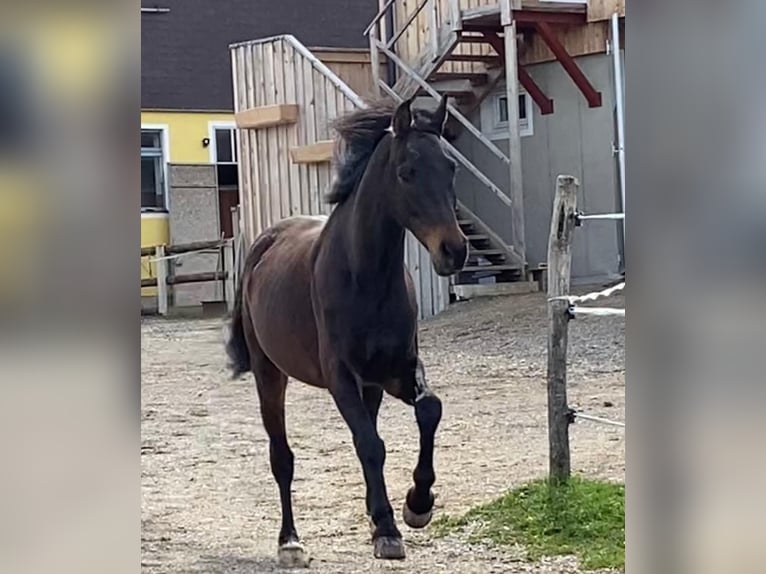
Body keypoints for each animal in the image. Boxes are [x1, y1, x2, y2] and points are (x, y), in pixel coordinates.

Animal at [228, 97, 468, 564]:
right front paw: (389, 529)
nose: (454, 250)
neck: (366, 277)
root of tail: (264, 241)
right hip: (270, 374)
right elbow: (371, 445)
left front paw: (417, 505)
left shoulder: (398, 371)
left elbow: (428, 411)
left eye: (450, 167)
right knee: (282, 457)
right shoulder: (341, 377)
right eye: (406, 171)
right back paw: (290, 542)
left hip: (370, 386)